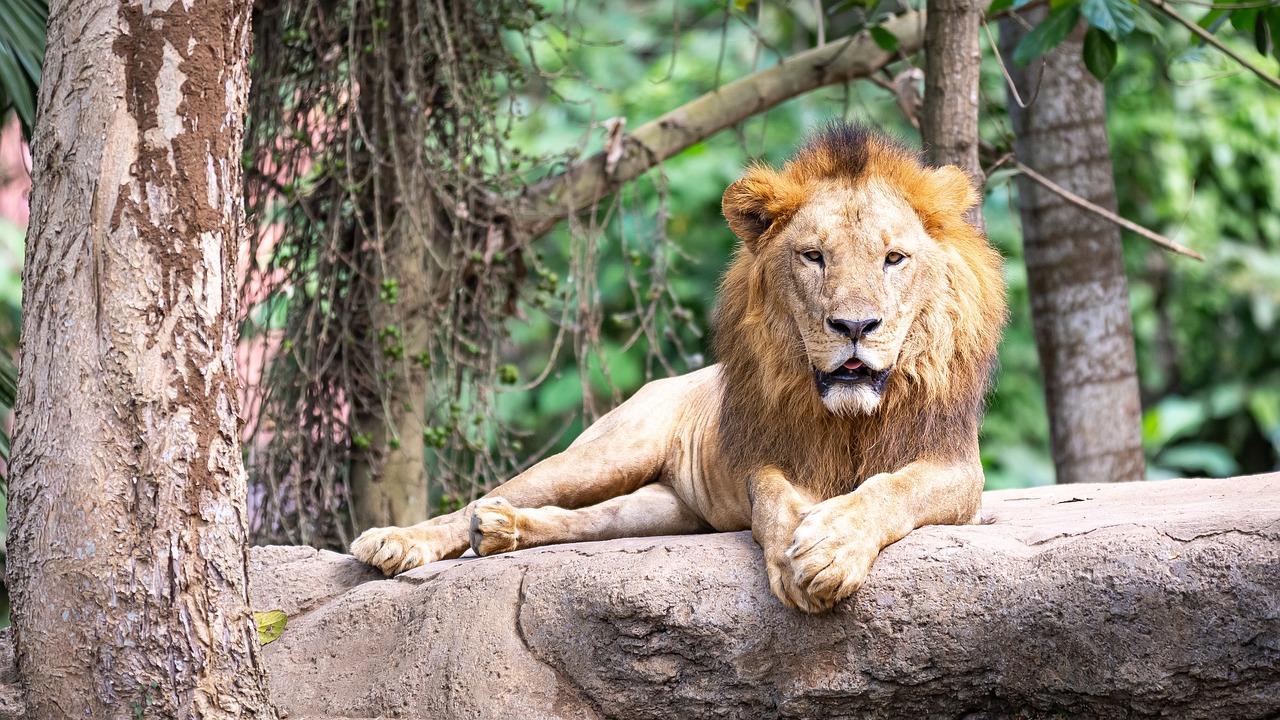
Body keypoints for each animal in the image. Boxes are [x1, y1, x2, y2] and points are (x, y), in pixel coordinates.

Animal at [353, 124, 1008, 609]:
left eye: (894, 258)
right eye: (813, 257)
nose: (854, 327)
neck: (848, 417)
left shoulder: (958, 471)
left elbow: (890, 489)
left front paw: (831, 544)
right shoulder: (769, 458)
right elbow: (776, 502)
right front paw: (804, 554)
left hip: (666, 509)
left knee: (590, 520)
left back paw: (501, 531)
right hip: (610, 452)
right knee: (493, 495)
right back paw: (400, 541)